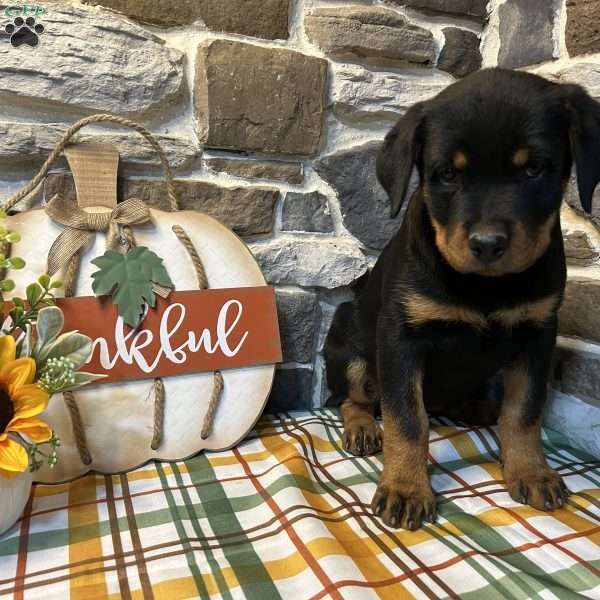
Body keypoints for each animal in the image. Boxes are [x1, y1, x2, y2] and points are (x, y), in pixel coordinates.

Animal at [324, 69, 600, 528]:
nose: (487, 244)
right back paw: (363, 428)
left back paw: (480, 409)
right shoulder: (400, 337)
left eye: (535, 169)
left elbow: (524, 411)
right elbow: (407, 418)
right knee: (353, 398)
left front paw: (531, 472)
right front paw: (406, 488)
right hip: (350, 344)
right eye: (447, 176)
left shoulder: (539, 332)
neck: (484, 285)